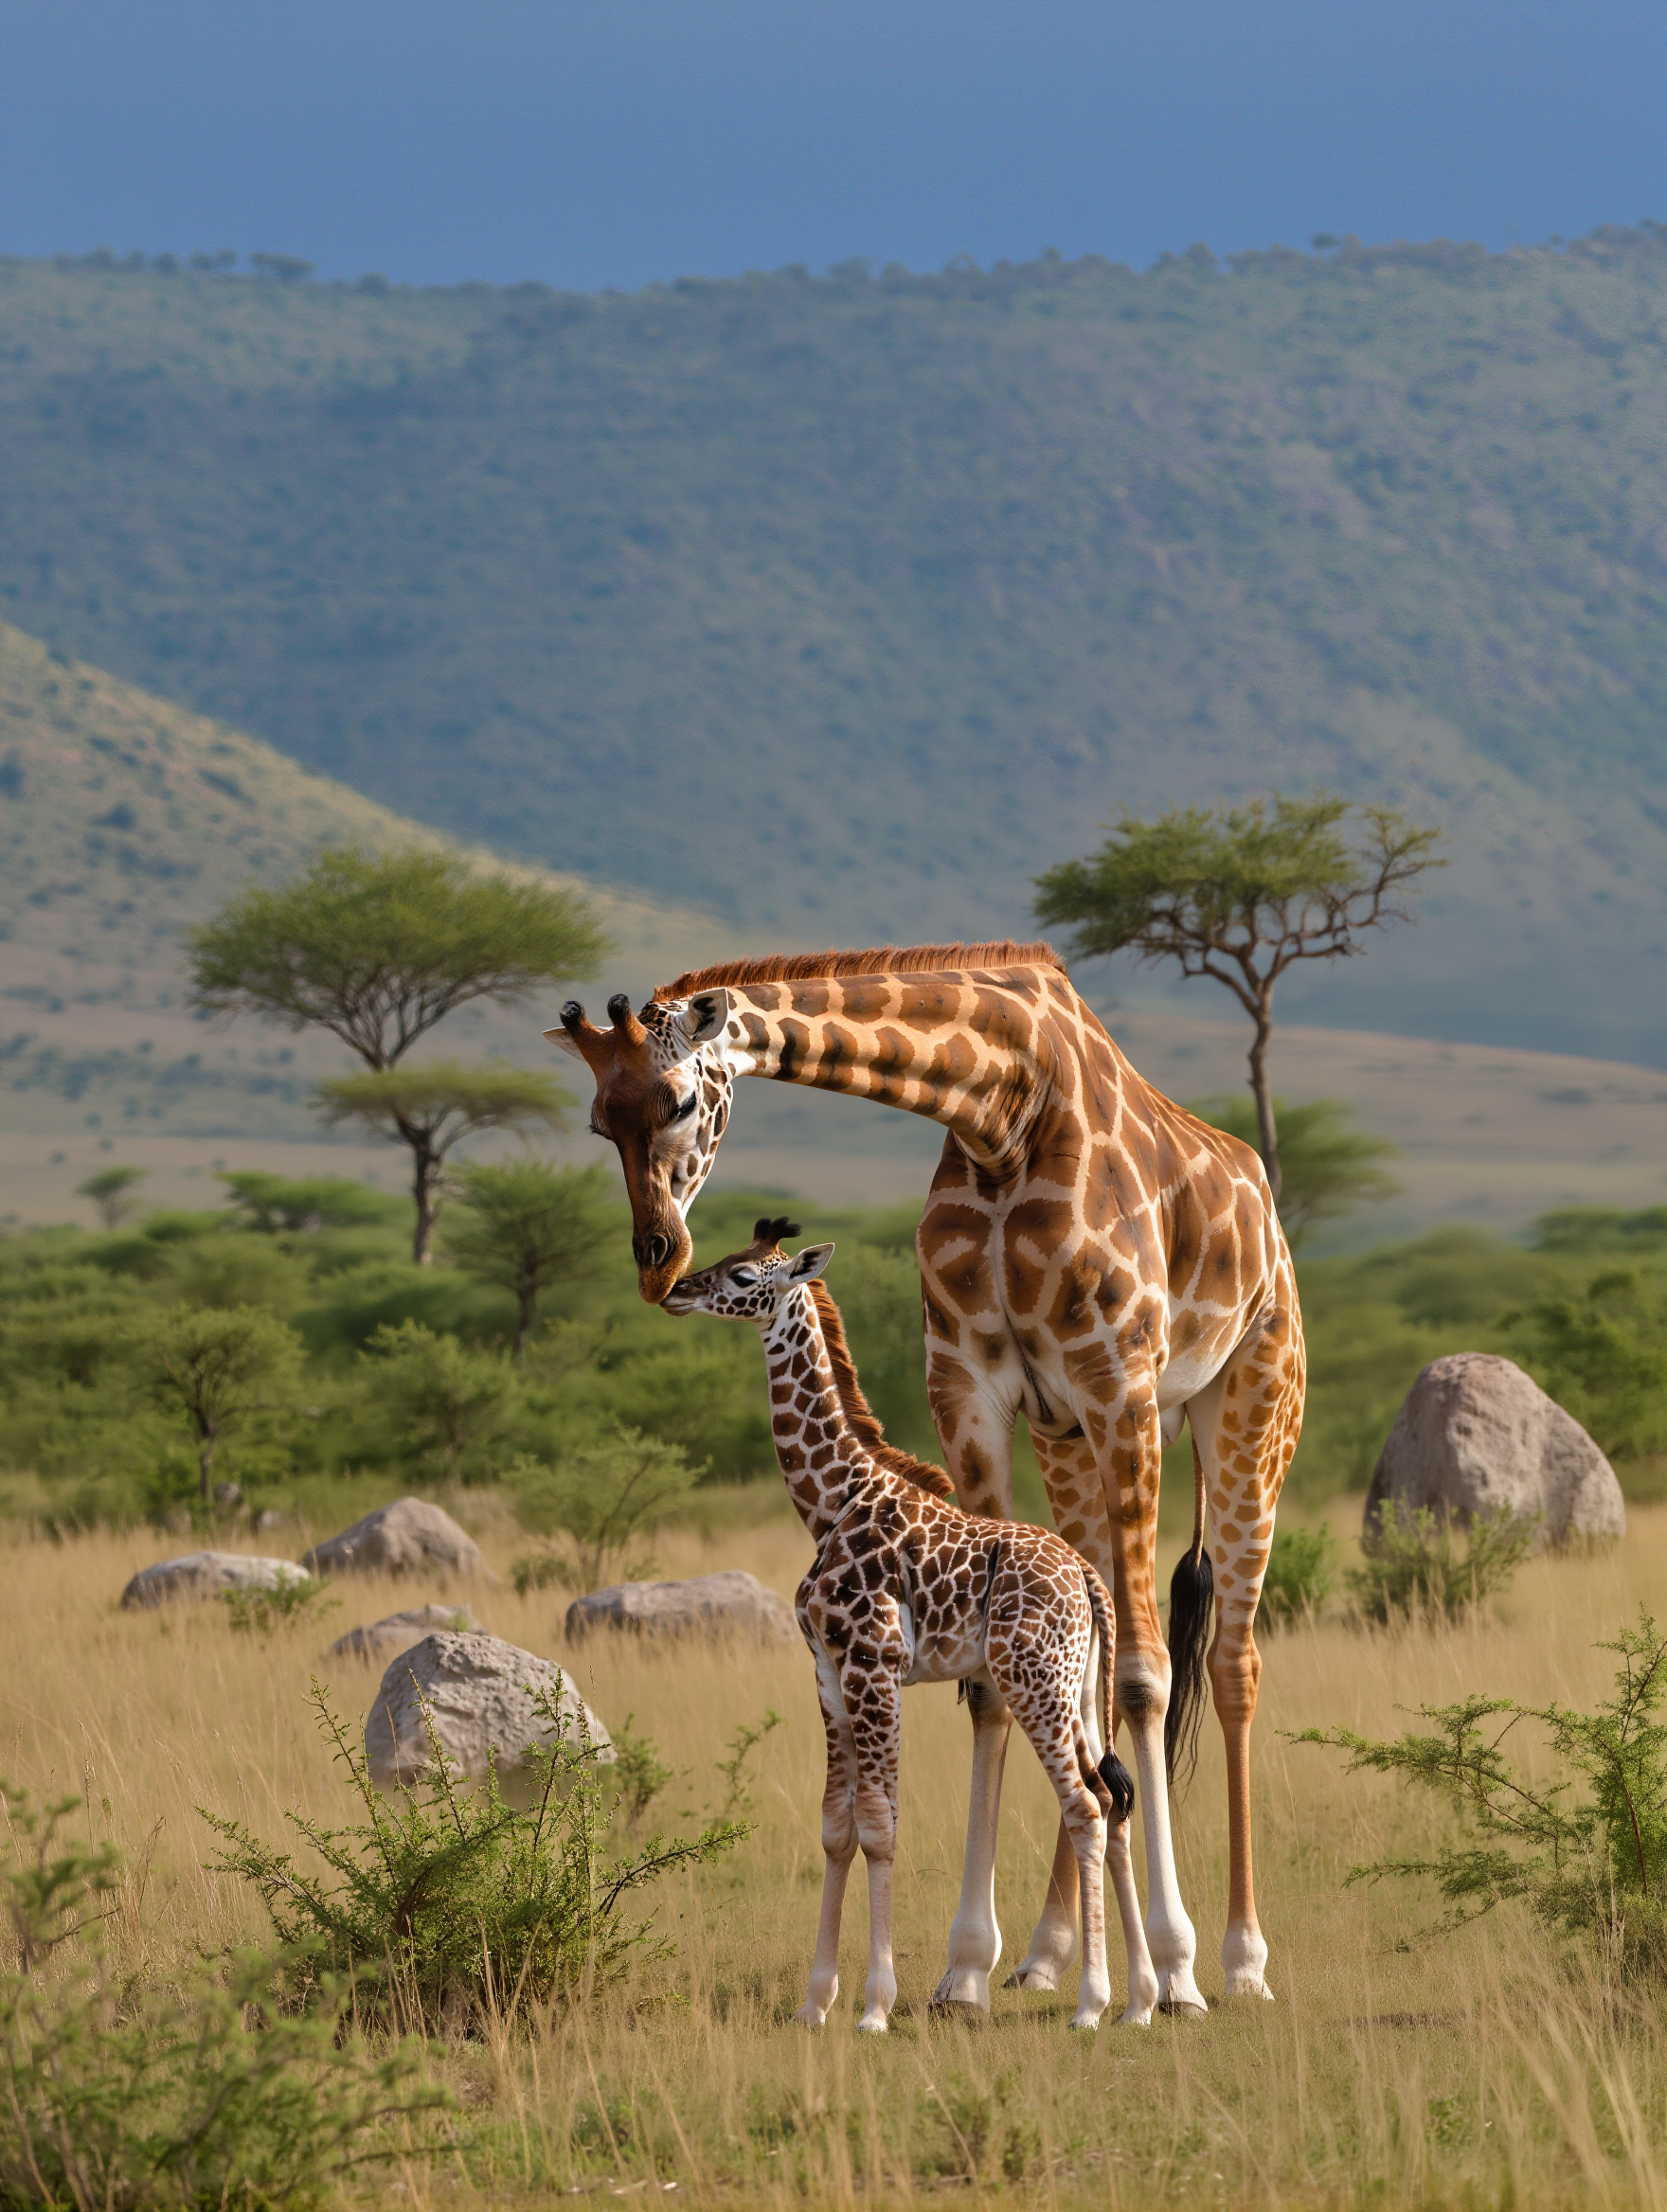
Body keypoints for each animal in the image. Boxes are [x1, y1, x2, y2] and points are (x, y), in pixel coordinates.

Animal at [663, 1216, 1156, 2033]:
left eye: (742, 1276)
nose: (675, 1290)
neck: (832, 1502)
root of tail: (1089, 1580)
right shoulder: (827, 1672)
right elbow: (836, 1828)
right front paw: (814, 2003)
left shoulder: (875, 1664)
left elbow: (881, 1826)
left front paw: (874, 2006)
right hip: (1079, 1686)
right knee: (1113, 1800)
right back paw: (1142, 2000)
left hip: (1031, 1680)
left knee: (1085, 1806)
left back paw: (1091, 2003)